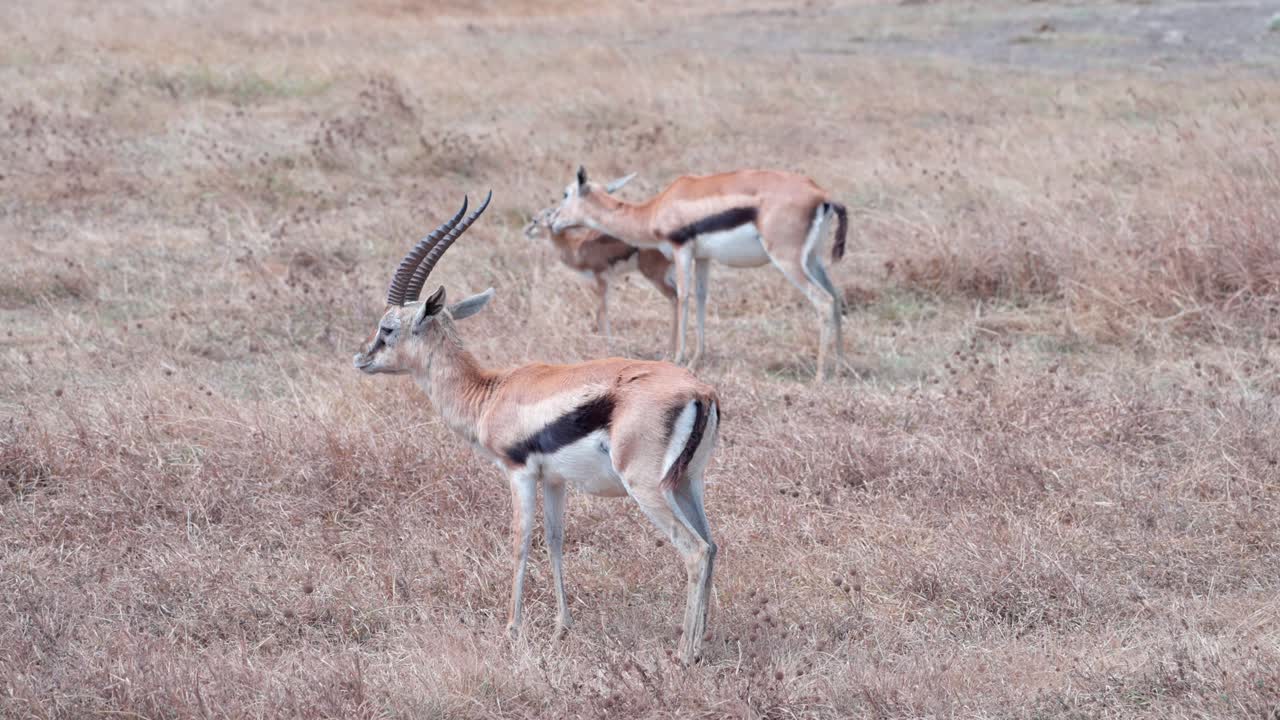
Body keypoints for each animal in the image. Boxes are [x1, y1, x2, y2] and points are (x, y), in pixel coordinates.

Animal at [524, 173, 678, 357]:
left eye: (535, 221)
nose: (525, 231)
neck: (575, 246)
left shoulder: (601, 278)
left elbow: (601, 312)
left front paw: (608, 345)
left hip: (655, 276)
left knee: (675, 298)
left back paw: (671, 352)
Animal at [550, 167, 849, 380]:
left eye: (565, 193)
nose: (552, 220)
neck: (656, 209)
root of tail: (821, 196)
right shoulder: (703, 257)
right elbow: (702, 298)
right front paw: (697, 359)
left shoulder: (681, 248)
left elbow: (683, 297)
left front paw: (678, 358)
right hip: (812, 259)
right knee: (836, 297)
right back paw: (840, 368)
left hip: (787, 260)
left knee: (823, 300)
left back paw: (820, 376)